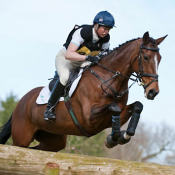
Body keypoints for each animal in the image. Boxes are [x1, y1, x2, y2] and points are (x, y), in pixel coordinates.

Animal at [0, 31, 167, 152]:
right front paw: (113, 138)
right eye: (146, 57)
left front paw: (124, 136)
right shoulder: (89, 116)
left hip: (54, 139)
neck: (108, 79)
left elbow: (137, 106)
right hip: (22, 137)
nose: (153, 91)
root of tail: (22, 101)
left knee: (39, 149)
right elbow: (114, 108)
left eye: (160, 59)